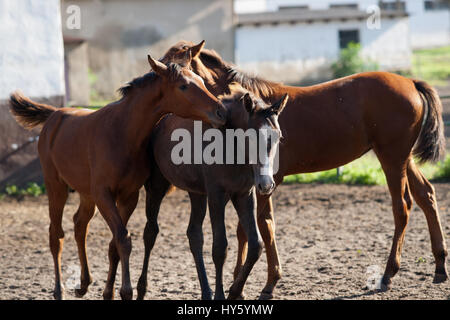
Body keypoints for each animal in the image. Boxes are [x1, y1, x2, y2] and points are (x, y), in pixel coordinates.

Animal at [9, 52, 229, 300]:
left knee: (79, 225)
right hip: (56, 187)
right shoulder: (104, 195)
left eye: (201, 81)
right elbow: (123, 239)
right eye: (183, 86)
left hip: (87, 194)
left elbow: (115, 243)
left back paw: (84, 283)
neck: (122, 132)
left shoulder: (128, 196)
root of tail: (55, 115)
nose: (221, 112)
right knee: (56, 235)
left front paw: (109, 292)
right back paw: (59, 289)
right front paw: (125, 290)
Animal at [135, 83, 286, 300]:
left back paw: (206, 292)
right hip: (156, 187)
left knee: (194, 235)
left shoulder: (244, 195)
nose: (266, 184)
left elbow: (255, 245)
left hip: (197, 193)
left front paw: (235, 292)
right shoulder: (217, 195)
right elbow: (220, 248)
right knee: (150, 232)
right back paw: (141, 288)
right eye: (250, 137)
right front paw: (222, 295)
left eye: (278, 137)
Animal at [160, 41, 448, 298]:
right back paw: (439, 266)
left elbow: (264, 225)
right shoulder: (251, 184)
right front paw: (237, 282)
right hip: (403, 158)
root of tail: (410, 82)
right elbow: (245, 230)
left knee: (402, 206)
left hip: (392, 158)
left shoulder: (267, 182)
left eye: (181, 74)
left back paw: (388, 274)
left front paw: (268, 284)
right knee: (426, 195)